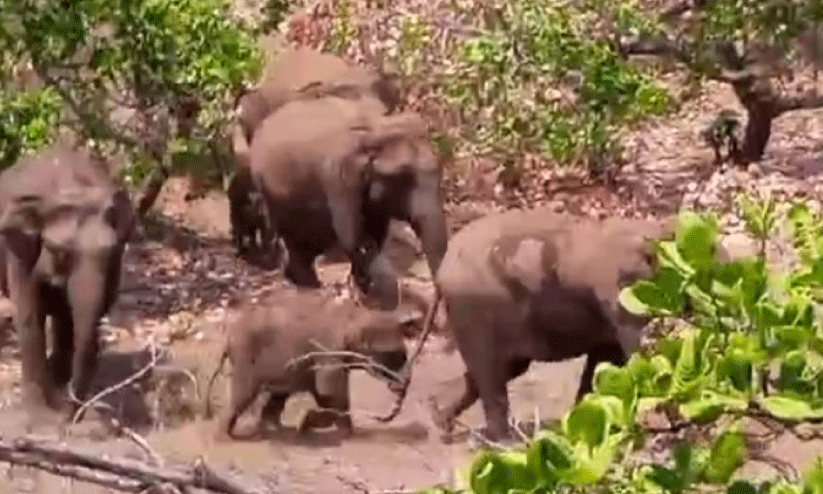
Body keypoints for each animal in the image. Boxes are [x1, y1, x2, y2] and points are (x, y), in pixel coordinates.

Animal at [0, 143, 137, 425]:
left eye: (111, 253)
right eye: (60, 252)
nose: (69, 413)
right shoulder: (17, 250)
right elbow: (29, 314)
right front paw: (41, 414)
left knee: (63, 317)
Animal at [205, 288, 423, 439]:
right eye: (394, 355)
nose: (397, 387)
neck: (358, 316)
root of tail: (227, 336)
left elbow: (324, 392)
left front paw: (344, 431)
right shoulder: (329, 349)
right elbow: (329, 389)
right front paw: (307, 425)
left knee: (278, 395)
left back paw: (274, 428)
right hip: (246, 355)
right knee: (244, 394)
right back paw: (225, 437)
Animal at [247, 95, 448, 310]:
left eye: (439, 169)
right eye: (401, 177)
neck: (376, 127)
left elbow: (376, 234)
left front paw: (366, 292)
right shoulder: (337, 179)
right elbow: (353, 236)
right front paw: (374, 298)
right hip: (268, 189)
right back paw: (309, 286)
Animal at [428, 209, 679, 442]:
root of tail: (443, 268)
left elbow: (605, 361)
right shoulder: (621, 292)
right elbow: (640, 352)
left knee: (500, 370)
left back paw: (441, 422)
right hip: (475, 307)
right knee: (491, 371)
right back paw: (504, 443)